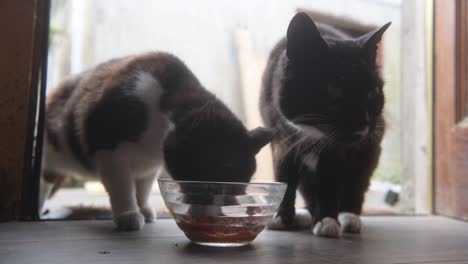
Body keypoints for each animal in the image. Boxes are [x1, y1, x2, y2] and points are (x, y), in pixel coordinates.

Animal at [43, 51, 274, 231]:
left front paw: (144, 209)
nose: (216, 215)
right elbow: (122, 186)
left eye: (239, 191)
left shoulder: (149, 164)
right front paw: (128, 214)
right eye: (208, 187)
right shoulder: (109, 150)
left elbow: (143, 188)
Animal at [262, 12, 390, 239]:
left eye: (373, 91)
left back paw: (348, 217)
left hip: (369, 149)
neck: (312, 132)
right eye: (335, 88)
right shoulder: (281, 138)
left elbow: (330, 180)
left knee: (356, 181)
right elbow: (285, 174)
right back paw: (305, 215)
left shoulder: (338, 149)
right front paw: (281, 216)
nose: (364, 122)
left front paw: (327, 220)